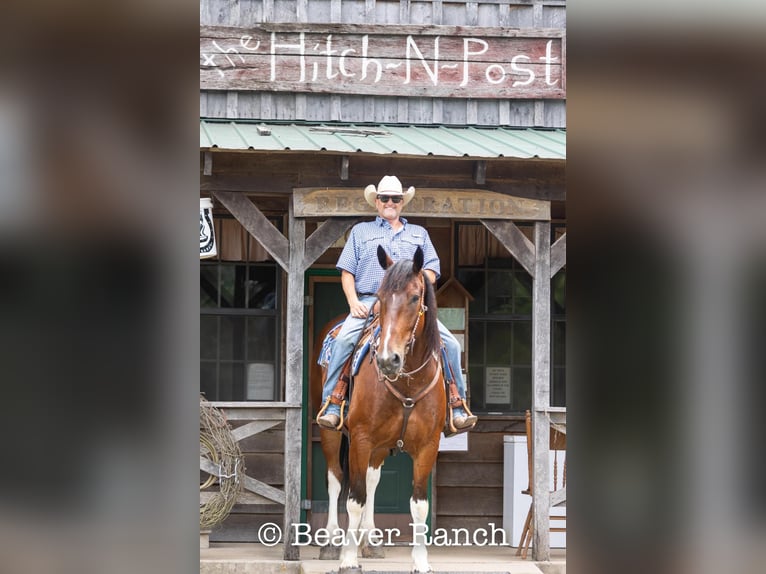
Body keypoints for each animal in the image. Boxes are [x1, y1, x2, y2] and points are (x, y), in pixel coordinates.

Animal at [310, 246, 448, 574]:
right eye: (381, 298)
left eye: (415, 297)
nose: (388, 359)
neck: (408, 382)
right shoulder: (360, 439)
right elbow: (354, 499)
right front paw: (348, 559)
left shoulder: (428, 446)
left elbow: (418, 505)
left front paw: (421, 562)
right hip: (331, 432)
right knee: (335, 477)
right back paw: (332, 540)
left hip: (380, 446)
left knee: (372, 479)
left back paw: (369, 538)